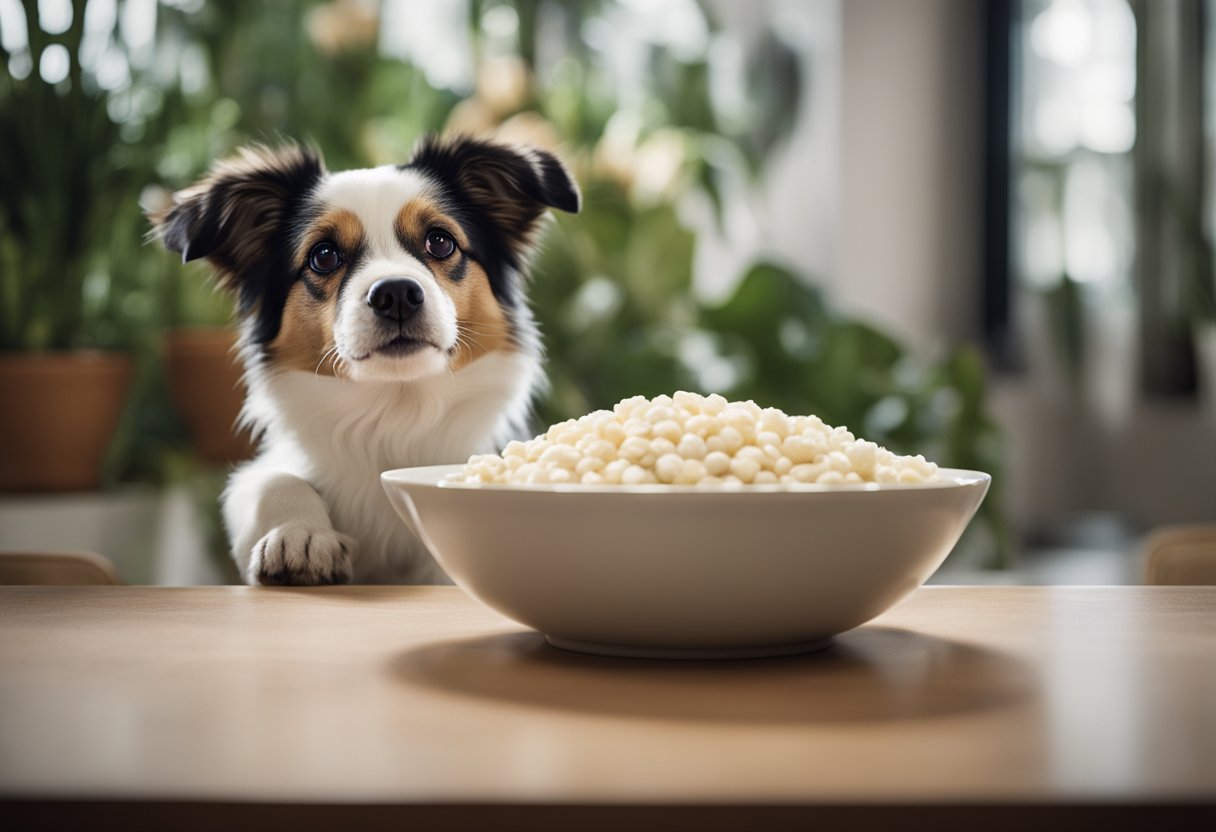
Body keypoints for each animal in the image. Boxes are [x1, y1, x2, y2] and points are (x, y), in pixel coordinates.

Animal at [154, 135, 581, 583]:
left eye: (440, 241)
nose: (396, 293)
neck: (396, 412)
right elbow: (272, 478)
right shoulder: (272, 467)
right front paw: (299, 535)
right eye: (323, 255)